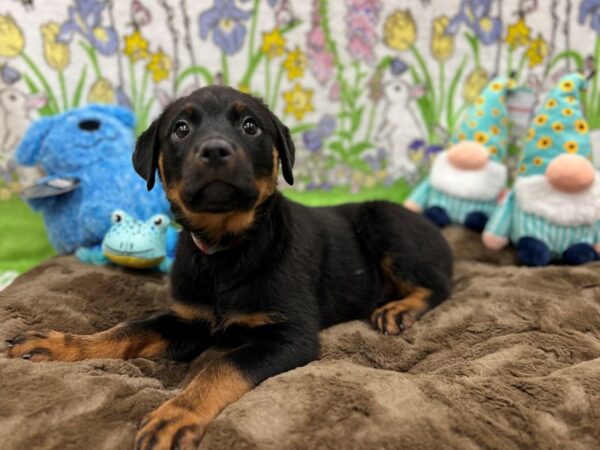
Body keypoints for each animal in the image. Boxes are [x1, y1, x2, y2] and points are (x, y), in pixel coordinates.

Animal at [7, 87, 452, 450]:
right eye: (181, 129)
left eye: (250, 126)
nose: (216, 150)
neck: (225, 250)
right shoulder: (188, 320)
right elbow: (128, 330)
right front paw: (61, 344)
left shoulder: (289, 335)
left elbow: (221, 366)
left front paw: (177, 414)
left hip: (385, 222)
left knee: (439, 286)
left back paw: (397, 309)